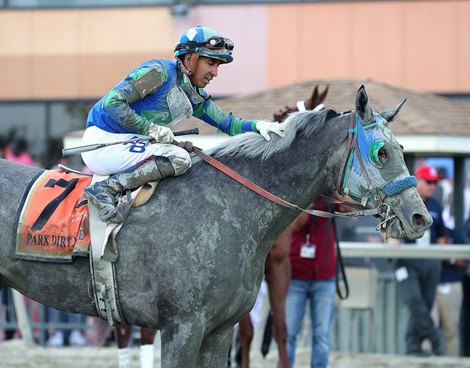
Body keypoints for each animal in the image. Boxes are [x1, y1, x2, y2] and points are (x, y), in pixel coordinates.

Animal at [0, 85, 432, 366]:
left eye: (402, 149)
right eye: (381, 152)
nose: (420, 218)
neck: (226, 206)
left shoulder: (219, 329)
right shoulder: (182, 327)